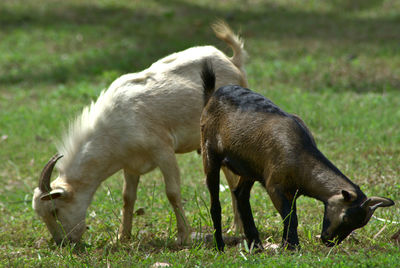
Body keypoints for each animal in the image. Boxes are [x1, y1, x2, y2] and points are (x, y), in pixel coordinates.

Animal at [32, 22, 248, 246]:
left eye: (55, 211)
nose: (62, 242)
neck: (116, 124)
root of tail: (232, 61)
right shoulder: (130, 164)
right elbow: (128, 197)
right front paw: (122, 236)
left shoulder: (163, 150)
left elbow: (172, 193)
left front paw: (183, 236)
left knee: (233, 179)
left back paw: (236, 228)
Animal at [200, 62, 394, 251]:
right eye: (346, 217)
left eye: (360, 224)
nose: (329, 242)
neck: (300, 155)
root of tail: (212, 96)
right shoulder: (274, 185)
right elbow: (291, 218)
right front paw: (293, 247)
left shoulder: (291, 191)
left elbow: (290, 216)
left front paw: (287, 245)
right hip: (210, 153)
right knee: (216, 204)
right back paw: (220, 245)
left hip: (250, 169)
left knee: (240, 194)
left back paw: (256, 245)